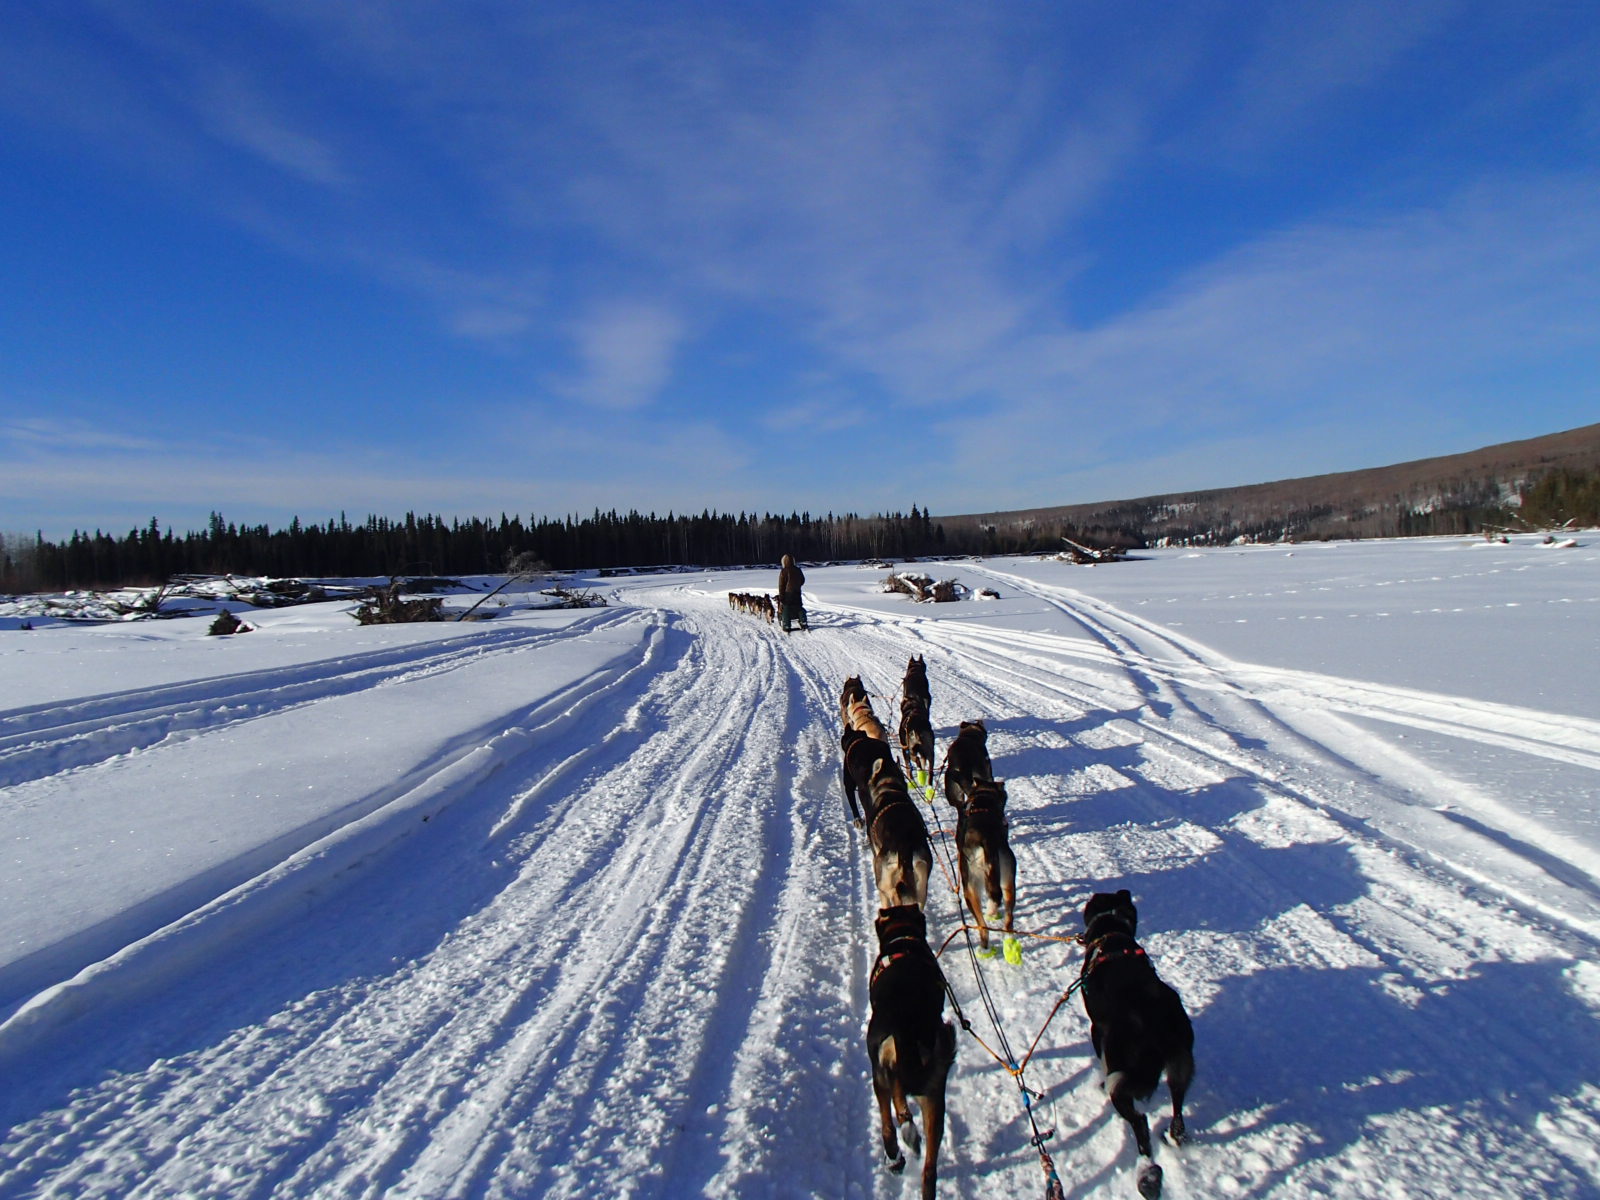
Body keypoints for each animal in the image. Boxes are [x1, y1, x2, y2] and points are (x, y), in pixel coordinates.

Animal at [870, 908, 953, 1196]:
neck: (903, 938)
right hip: (934, 1095)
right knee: (930, 1169)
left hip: (881, 1073)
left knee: (890, 1119)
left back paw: (896, 1153)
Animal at [1081, 889, 1196, 1196]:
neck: (1111, 934)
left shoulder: (1097, 1030)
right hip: (1181, 1062)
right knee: (1177, 1105)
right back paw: (1175, 1138)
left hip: (1121, 1078)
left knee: (1140, 1123)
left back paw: (1148, 1175)